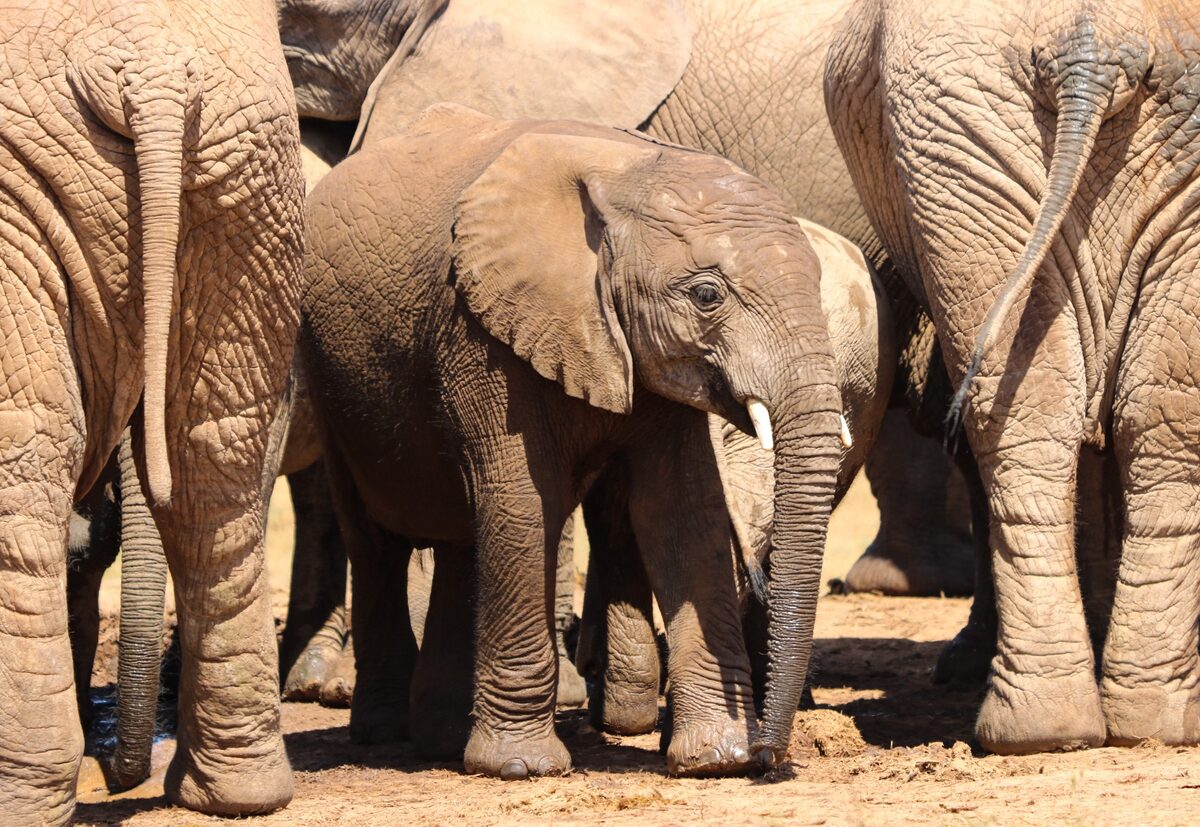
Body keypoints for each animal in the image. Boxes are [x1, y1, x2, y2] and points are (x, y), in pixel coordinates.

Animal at [300, 103, 850, 778]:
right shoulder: (482, 328)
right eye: (707, 295)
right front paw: (522, 768)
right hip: (329, 378)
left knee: (461, 539)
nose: (772, 758)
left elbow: (682, 511)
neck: (624, 177)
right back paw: (385, 733)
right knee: (376, 542)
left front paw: (718, 759)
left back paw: (440, 740)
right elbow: (522, 502)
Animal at [826, 0, 1200, 752]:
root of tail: (1097, 44)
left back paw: (1106, 724)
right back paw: (1070, 728)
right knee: (1063, 412)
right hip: (961, 136)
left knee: (1133, 416)